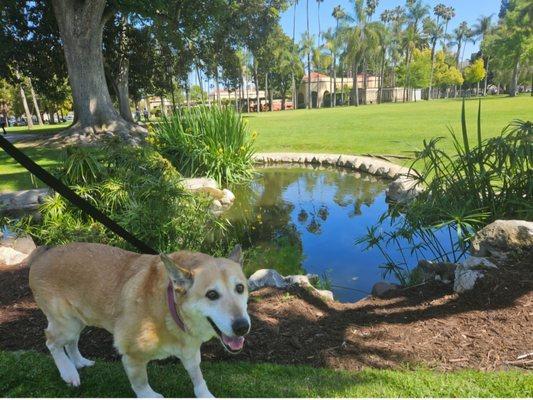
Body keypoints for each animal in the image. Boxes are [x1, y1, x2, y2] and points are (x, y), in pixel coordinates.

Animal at [26, 241, 247, 396]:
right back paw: (68, 372)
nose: (242, 327)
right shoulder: (133, 356)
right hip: (67, 324)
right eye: (212, 294)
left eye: (240, 288)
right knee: (51, 342)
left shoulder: (191, 352)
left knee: (71, 342)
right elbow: (141, 384)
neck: (171, 308)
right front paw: (150, 395)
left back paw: (79, 362)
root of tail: (43, 255)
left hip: (78, 319)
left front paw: (205, 394)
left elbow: (198, 378)